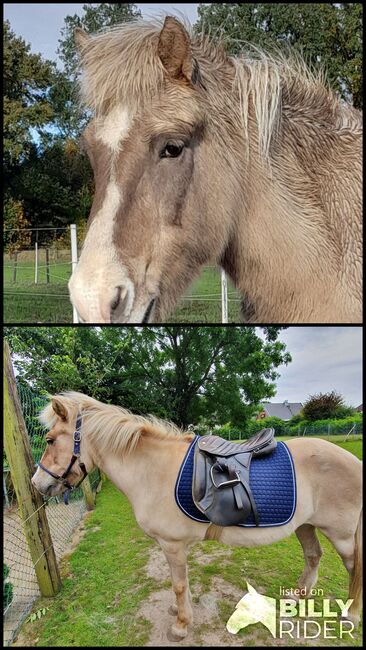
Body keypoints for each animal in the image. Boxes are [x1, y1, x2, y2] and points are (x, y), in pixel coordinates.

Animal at [32, 390, 364, 636]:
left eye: (50, 440)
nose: (37, 484)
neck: (152, 469)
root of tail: (354, 461)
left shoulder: (172, 545)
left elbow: (179, 584)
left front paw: (181, 625)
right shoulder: (177, 547)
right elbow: (183, 584)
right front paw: (182, 613)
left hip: (342, 535)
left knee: (353, 567)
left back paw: (350, 615)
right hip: (305, 525)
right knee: (313, 555)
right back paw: (298, 596)